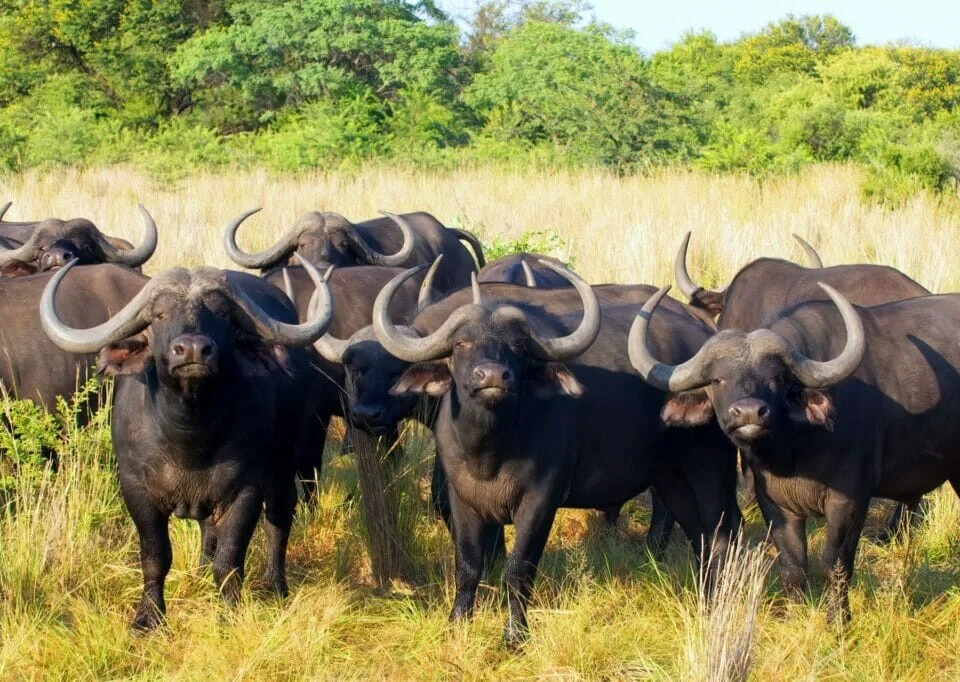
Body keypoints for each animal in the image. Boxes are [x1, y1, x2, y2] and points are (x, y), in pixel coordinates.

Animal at [40, 256, 333, 629]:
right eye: (160, 314)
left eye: (222, 313)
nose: (193, 350)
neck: (190, 439)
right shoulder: (136, 489)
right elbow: (156, 556)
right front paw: (148, 617)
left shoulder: (245, 491)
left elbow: (230, 558)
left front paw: (228, 613)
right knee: (209, 532)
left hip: (286, 462)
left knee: (279, 518)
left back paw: (275, 585)